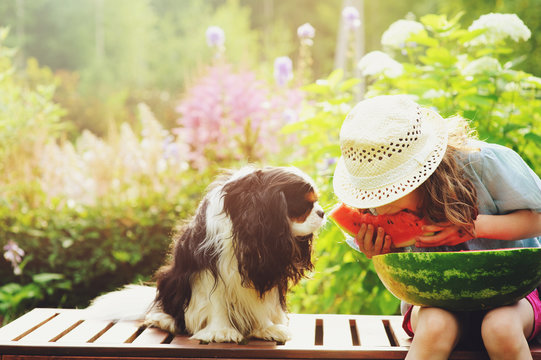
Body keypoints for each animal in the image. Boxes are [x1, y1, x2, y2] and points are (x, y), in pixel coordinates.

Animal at [86, 166, 322, 344]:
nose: (321, 212)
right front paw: (220, 331)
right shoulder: (209, 267)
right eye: (305, 204)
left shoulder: (267, 267)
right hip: (171, 277)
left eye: (316, 202)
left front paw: (266, 328)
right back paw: (165, 319)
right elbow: (215, 300)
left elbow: (261, 302)